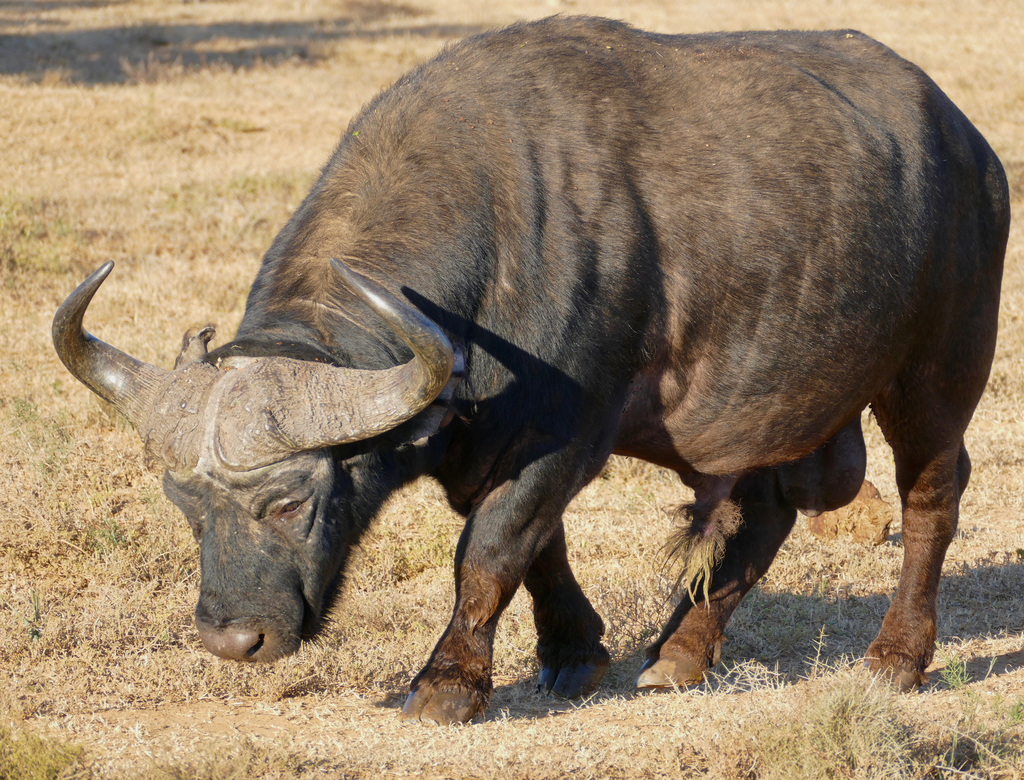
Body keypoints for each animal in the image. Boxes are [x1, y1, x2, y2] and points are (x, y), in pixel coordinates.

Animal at [54, 17, 1009, 724]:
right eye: (185, 502)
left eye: (291, 501)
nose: (233, 641)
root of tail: (971, 150)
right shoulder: (498, 441)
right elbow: (539, 546)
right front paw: (574, 652)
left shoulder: (563, 433)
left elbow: (490, 551)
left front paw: (446, 682)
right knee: (765, 506)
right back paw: (679, 652)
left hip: (939, 369)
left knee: (933, 495)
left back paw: (896, 657)